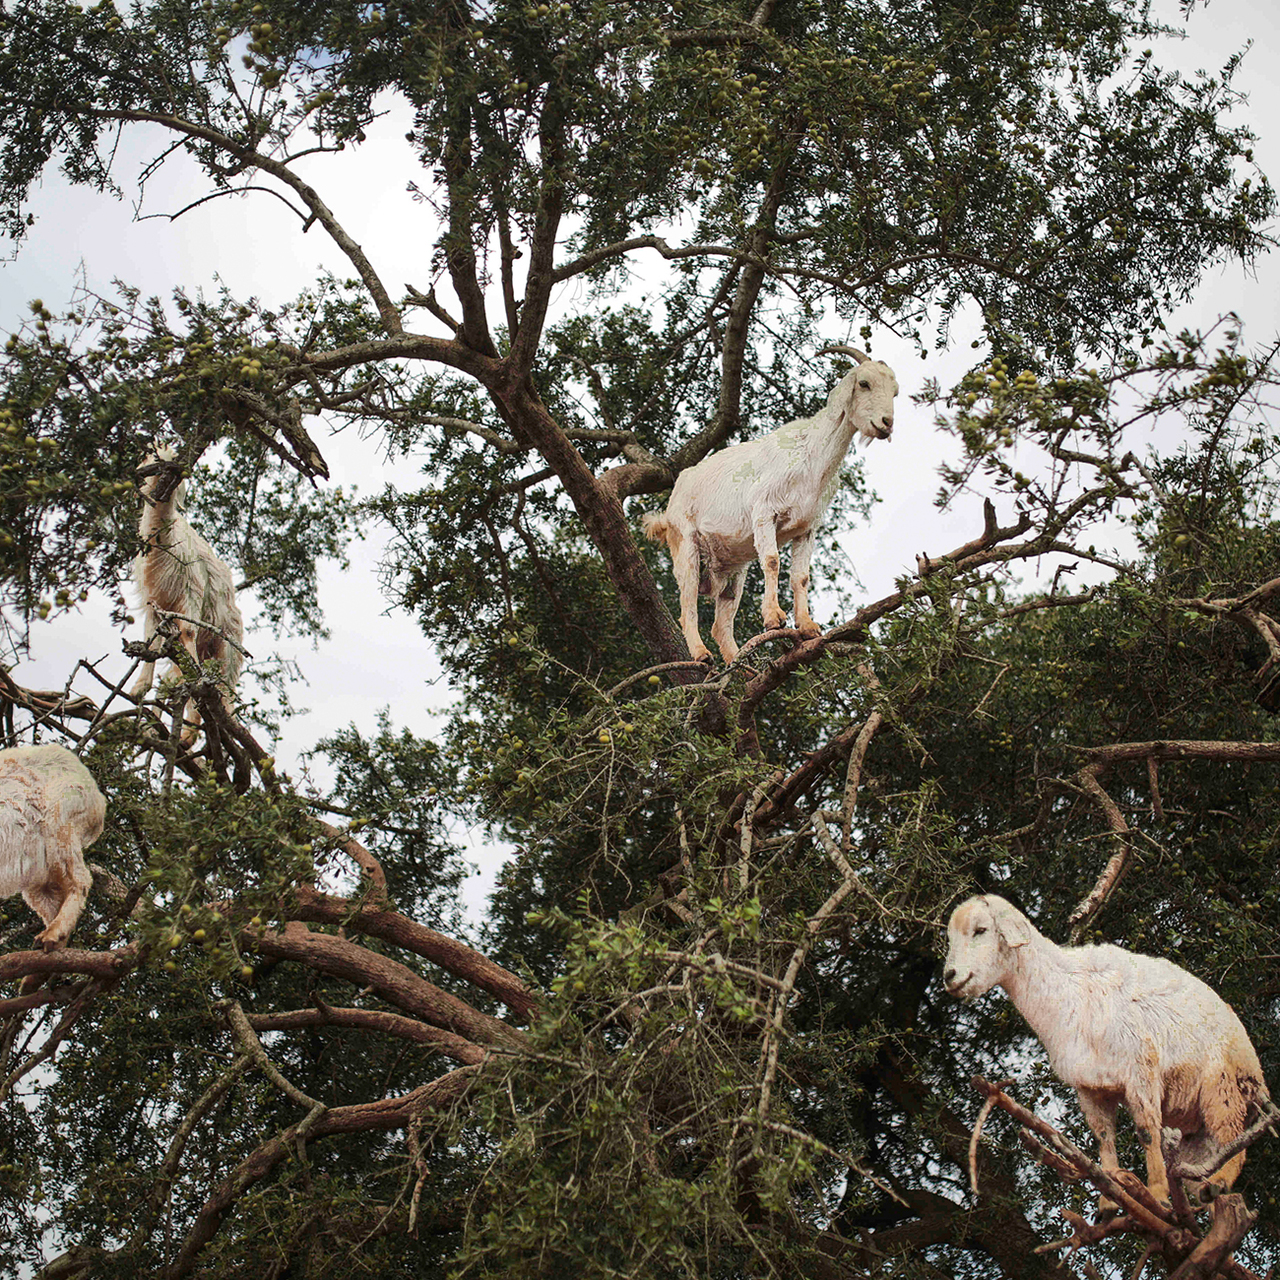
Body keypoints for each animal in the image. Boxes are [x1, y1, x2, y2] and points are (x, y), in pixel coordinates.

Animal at [131, 448, 244, 742]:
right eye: (153, 459)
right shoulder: (155, 602)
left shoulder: (191, 594)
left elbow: (189, 631)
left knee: (224, 693)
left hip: (228, 650)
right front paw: (138, 689)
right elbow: (151, 643)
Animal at [640, 345, 901, 665]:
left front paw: (808, 626)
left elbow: (801, 577)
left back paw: (740, 665)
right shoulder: (765, 513)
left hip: (734, 570)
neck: (811, 456)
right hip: (686, 546)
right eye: (864, 383)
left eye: (895, 391)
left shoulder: (807, 528)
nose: (886, 424)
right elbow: (772, 561)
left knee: (721, 623)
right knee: (687, 604)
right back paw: (701, 655)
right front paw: (775, 618)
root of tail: (669, 508)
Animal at [942, 890, 1269, 1208]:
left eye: (980, 930)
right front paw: (1110, 1202)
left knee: (1233, 1143)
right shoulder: (1090, 1087)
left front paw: (1159, 1196)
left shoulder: (1141, 1069)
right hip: (1196, 1136)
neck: (1069, 990)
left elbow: (1147, 1132)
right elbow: (1103, 1138)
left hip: (1223, 1086)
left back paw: (1218, 1183)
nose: (950, 977)